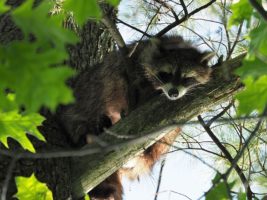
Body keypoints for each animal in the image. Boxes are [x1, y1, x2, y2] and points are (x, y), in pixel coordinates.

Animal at [58, 36, 214, 200]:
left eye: (187, 78)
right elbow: (123, 79)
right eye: (167, 74)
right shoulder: (132, 63)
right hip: (84, 100)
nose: (173, 93)